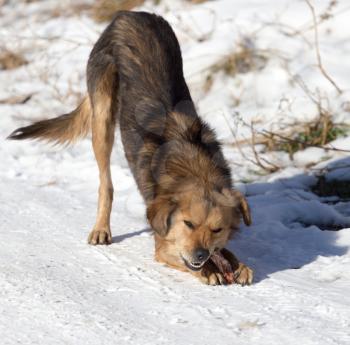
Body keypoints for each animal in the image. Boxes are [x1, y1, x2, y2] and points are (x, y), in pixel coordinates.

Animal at [8, 10, 253, 284]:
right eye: (188, 223)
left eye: (216, 229)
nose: (201, 255)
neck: (195, 167)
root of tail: (130, 13)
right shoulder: (163, 243)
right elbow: (174, 252)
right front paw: (211, 270)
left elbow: (226, 251)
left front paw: (237, 264)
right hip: (103, 118)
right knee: (106, 184)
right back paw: (101, 228)